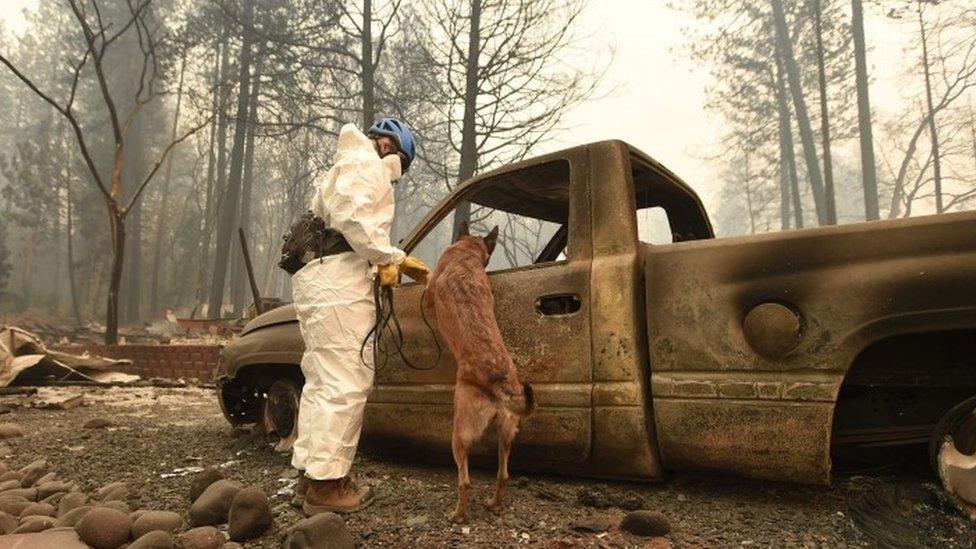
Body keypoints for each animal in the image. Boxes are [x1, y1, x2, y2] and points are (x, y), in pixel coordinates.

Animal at [426, 219, 536, 524]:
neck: (467, 254)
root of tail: (500, 385)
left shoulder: (429, 291)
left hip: (459, 434)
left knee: (464, 481)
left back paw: (458, 515)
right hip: (506, 435)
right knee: (503, 474)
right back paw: (495, 505)